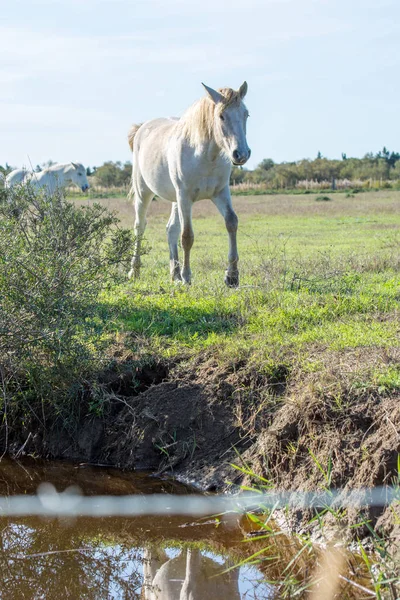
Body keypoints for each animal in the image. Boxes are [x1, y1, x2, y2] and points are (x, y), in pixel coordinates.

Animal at [127, 81, 250, 286]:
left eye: (246, 114)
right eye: (221, 116)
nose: (241, 154)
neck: (205, 156)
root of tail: (142, 128)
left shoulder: (220, 193)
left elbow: (231, 222)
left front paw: (232, 276)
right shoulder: (185, 197)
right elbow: (187, 236)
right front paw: (187, 276)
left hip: (175, 199)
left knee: (171, 229)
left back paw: (174, 274)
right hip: (144, 192)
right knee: (140, 226)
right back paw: (134, 271)